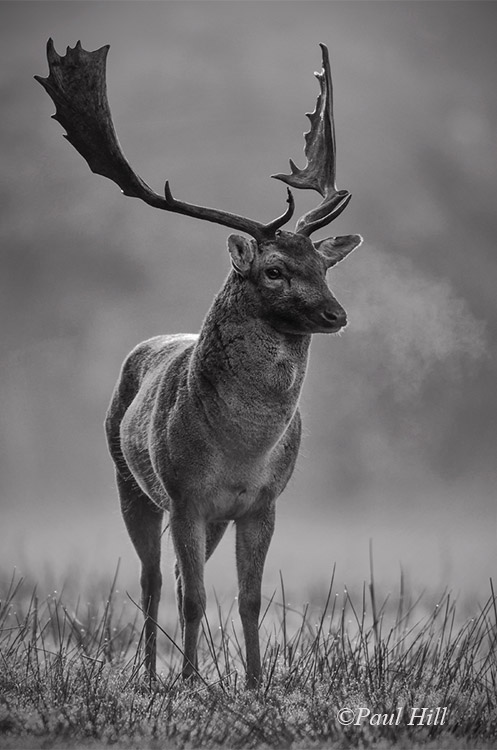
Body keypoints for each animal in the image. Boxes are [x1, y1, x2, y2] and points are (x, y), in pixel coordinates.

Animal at [36, 40, 362, 688]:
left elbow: (250, 598)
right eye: (274, 270)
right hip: (129, 479)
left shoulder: (262, 502)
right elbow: (191, 596)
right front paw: (188, 682)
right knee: (154, 578)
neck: (242, 447)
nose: (336, 314)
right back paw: (150, 675)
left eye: (324, 266)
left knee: (177, 574)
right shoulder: (184, 492)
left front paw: (255, 683)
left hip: (201, 514)